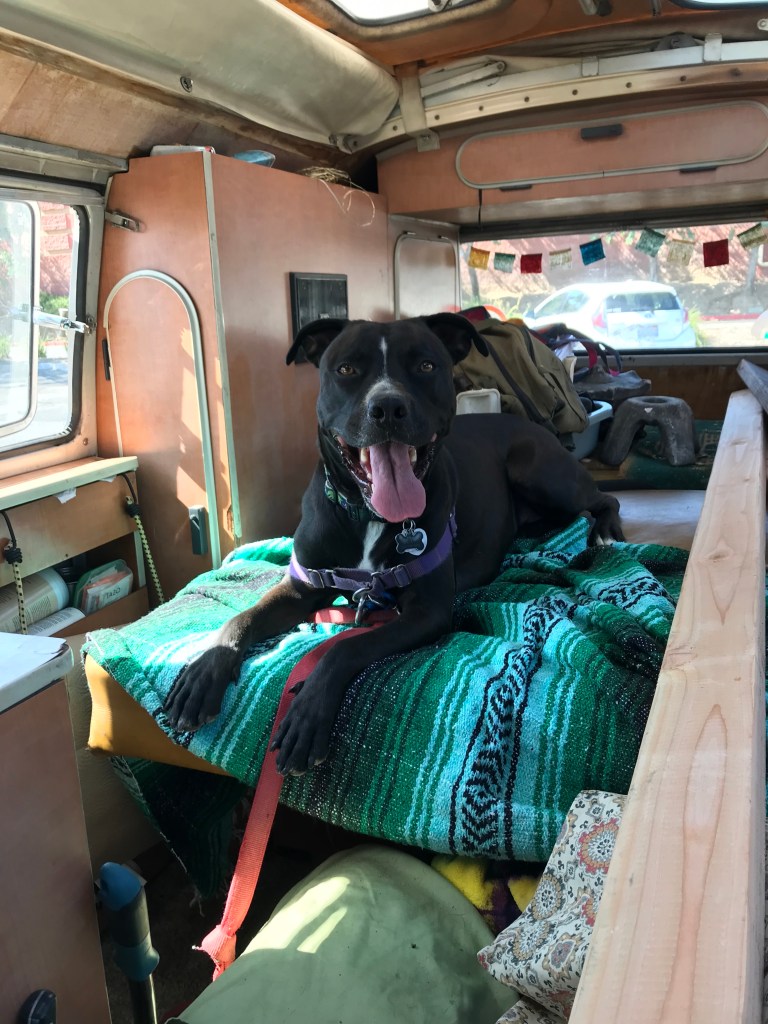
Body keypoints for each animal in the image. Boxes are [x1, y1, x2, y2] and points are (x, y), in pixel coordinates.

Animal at [164, 313, 623, 776]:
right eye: (347, 369)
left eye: (425, 366)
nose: (387, 408)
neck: (370, 516)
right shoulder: (301, 588)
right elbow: (242, 618)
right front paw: (203, 673)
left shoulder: (427, 611)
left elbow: (345, 646)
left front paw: (308, 714)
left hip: (540, 470)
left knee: (605, 500)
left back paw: (603, 532)